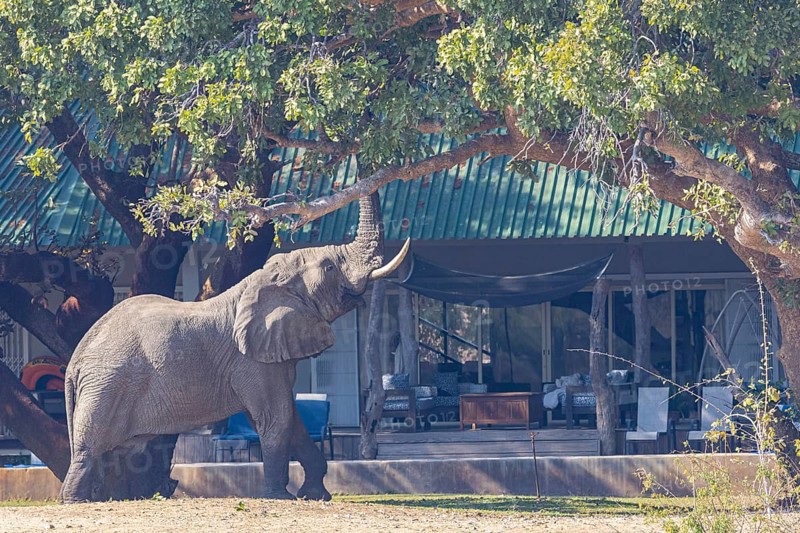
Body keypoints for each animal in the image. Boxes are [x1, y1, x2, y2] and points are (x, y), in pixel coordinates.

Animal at [58, 194, 409, 503]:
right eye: (330, 268)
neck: (265, 281)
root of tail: (76, 358)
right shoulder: (252, 360)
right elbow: (276, 416)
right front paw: (280, 498)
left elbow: (290, 419)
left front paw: (315, 496)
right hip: (108, 384)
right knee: (91, 448)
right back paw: (77, 502)